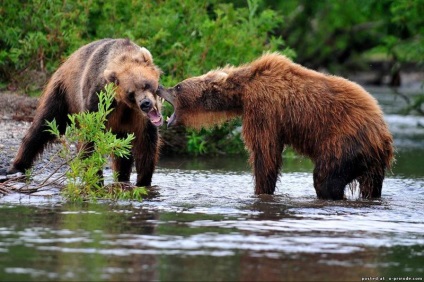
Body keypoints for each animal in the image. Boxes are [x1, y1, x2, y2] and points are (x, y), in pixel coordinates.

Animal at [8, 38, 164, 187]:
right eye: (130, 93)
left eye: (146, 84)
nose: (145, 104)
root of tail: (68, 60)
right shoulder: (99, 101)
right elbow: (90, 139)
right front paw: (96, 180)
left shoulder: (138, 118)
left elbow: (146, 143)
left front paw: (143, 181)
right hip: (63, 93)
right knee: (44, 126)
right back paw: (17, 167)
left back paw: (122, 178)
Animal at [158, 52, 394, 198]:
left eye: (177, 87)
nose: (160, 86)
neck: (242, 91)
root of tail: (382, 134)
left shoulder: (264, 109)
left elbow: (265, 153)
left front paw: (261, 190)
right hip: (373, 165)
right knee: (371, 186)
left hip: (344, 143)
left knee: (326, 179)